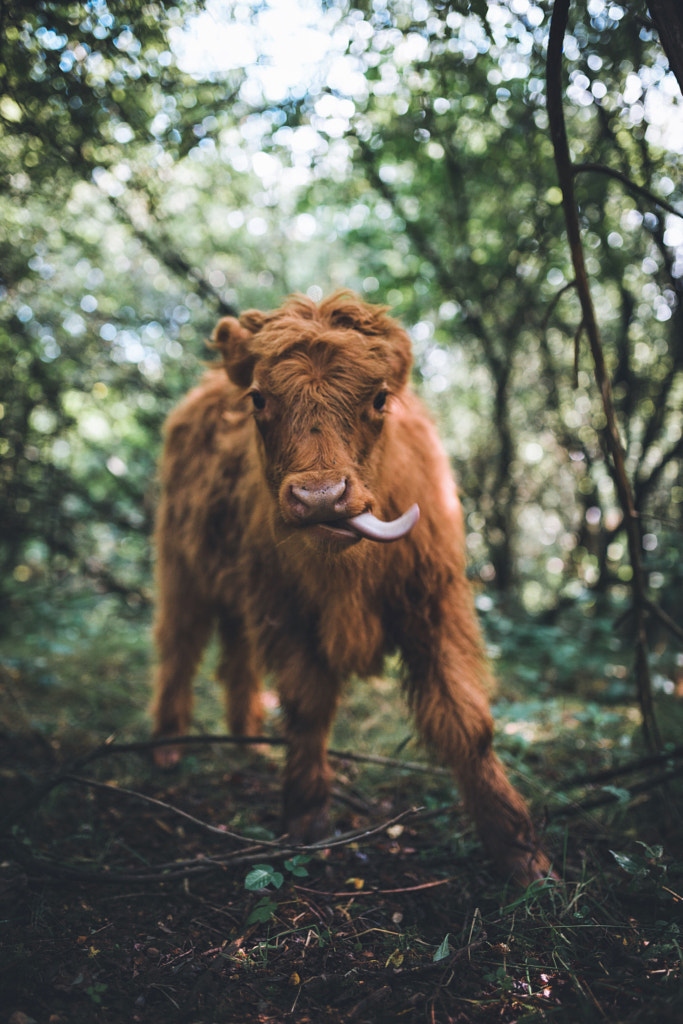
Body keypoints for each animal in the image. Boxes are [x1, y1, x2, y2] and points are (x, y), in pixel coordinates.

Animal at [152, 292, 552, 884]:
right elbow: (308, 705)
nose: (321, 497)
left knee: (234, 656)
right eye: (259, 399)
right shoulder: (286, 610)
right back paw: (168, 748)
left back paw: (247, 739)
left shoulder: (434, 605)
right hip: (182, 568)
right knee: (179, 647)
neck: (347, 570)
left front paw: (521, 853)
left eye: (380, 398)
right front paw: (306, 816)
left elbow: (466, 721)